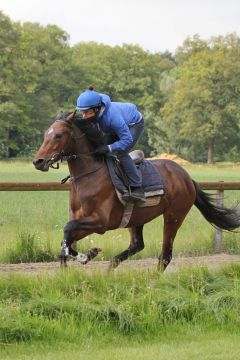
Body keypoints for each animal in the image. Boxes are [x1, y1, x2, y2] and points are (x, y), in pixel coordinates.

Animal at [32, 112, 240, 270]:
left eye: (58, 135)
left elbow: (67, 229)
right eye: (45, 134)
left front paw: (85, 256)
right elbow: (66, 239)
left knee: (165, 256)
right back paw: (111, 267)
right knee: (137, 245)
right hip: (136, 217)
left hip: (174, 216)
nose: (38, 161)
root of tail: (187, 177)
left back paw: (152, 283)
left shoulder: (100, 222)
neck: (90, 174)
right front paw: (86, 255)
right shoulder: (86, 221)